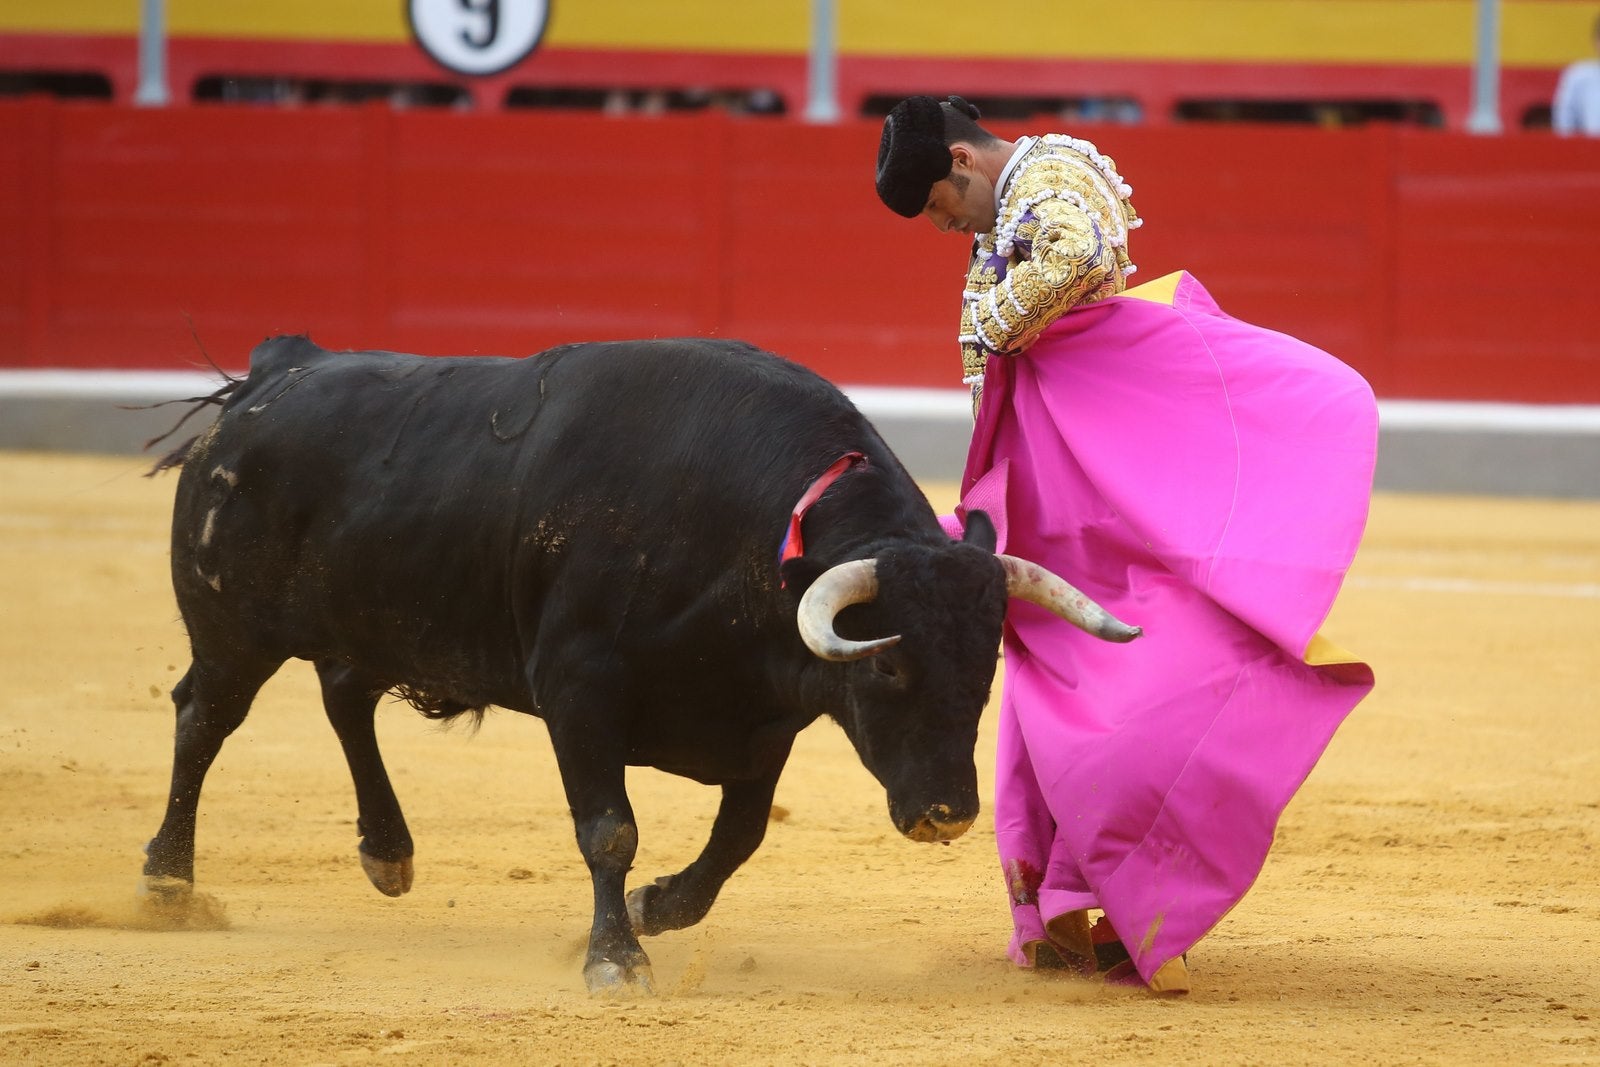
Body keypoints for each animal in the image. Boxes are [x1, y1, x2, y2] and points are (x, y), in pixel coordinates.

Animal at [140, 334, 1139, 991]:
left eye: (985, 667)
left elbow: (740, 835)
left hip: (368, 621)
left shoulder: (764, 719)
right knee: (202, 719)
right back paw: (168, 881)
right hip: (232, 629)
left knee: (345, 695)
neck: (749, 534)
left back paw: (388, 854)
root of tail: (274, 373)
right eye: (887, 668)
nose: (947, 815)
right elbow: (609, 830)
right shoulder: (578, 690)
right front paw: (617, 956)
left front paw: (662, 906)